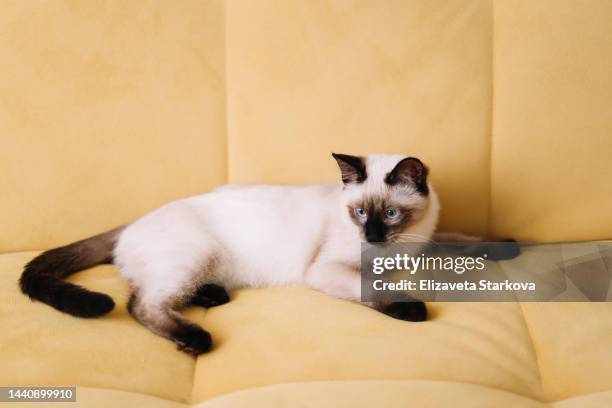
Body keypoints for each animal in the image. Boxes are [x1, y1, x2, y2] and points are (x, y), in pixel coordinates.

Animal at [20, 153, 450, 354]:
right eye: (360, 213)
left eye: (391, 214)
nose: (373, 237)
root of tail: (130, 224)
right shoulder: (326, 270)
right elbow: (373, 289)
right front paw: (412, 309)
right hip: (196, 255)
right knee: (141, 304)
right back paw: (196, 339)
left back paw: (212, 296)